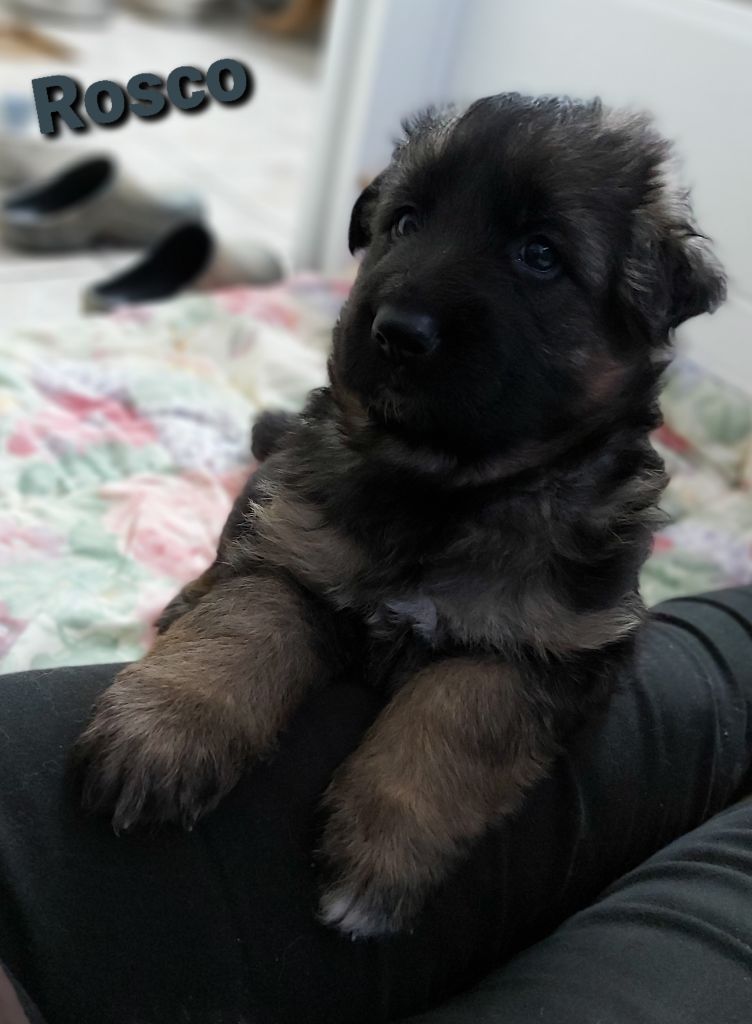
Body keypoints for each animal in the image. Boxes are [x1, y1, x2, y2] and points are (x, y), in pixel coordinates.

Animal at [73, 94, 729, 937]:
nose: (397, 331)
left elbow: (461, 710)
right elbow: (244, 621)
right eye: (406, 222)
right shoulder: (290, 551)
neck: (443, 491)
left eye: (540, 255)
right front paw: (161, 734)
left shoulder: (553, 648)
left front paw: (381, 849)